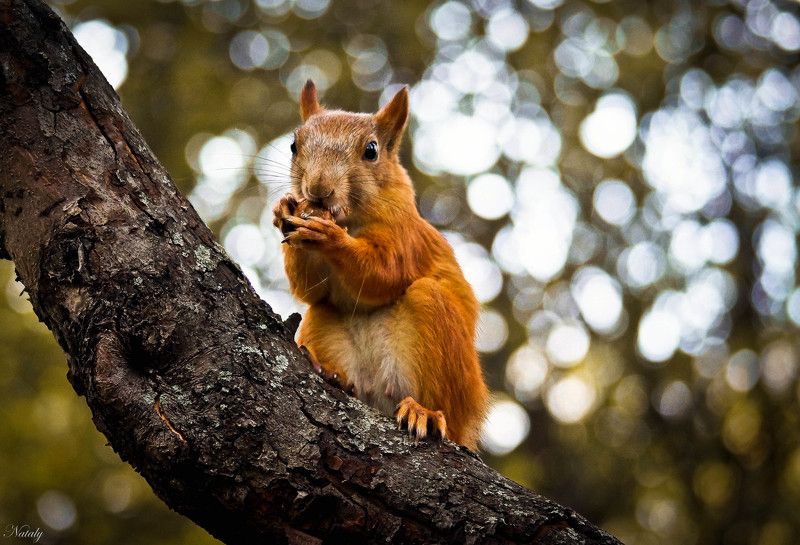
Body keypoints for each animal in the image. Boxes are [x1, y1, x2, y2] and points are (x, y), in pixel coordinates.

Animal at [272, 80, 488, 450]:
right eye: (293, 145)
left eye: (371, 151)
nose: (318, 189)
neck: (350, 219)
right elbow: (310, 289)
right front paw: (282, 209)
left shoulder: (405, 237)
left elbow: (382, 274)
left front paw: (331, 238)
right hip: (323, 324)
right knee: (321, 309)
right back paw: (331, 374)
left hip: (443, 348)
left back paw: (425, 412)